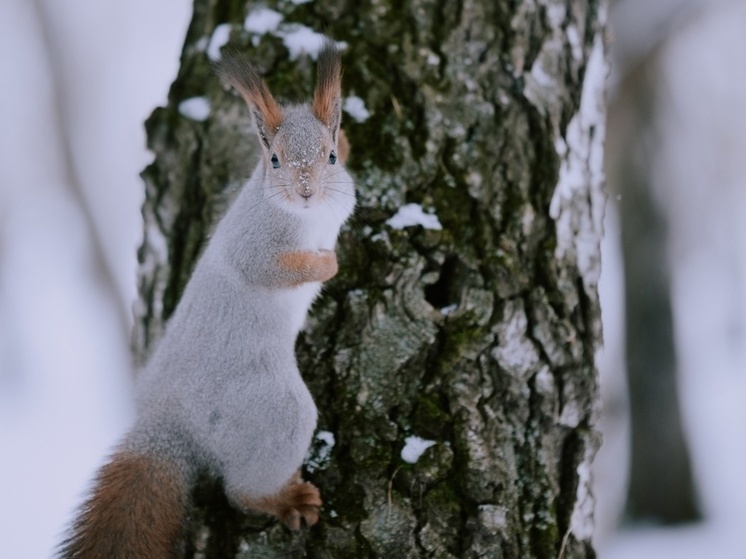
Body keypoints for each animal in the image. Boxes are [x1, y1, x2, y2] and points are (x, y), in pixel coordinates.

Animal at [58, 37, 354, 556]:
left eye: (330, 157)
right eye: (274, 160)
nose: (305, 191)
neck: (309, 215)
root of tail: (168, 421)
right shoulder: (254, 244)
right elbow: (270, 269)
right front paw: (326, 265)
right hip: (272, 410)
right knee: (241, 492)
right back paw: (283, 499)